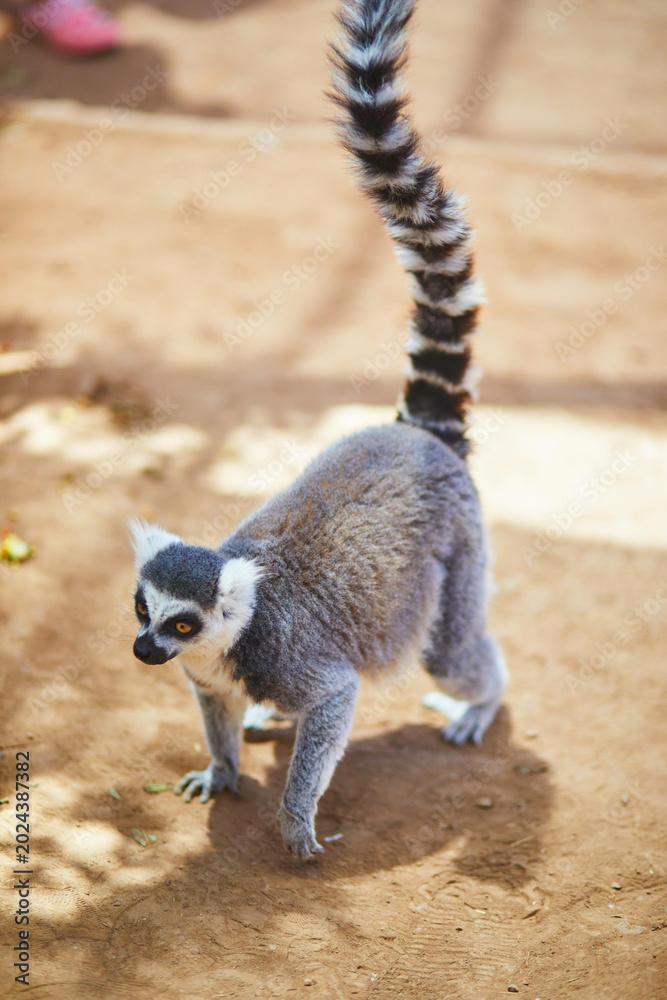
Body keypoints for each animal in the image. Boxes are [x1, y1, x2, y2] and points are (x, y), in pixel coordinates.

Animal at [130, 0, 508, 860]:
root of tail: (415, 435)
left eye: (181, 620)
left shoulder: (291, 659)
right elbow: (216, 717)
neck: (227, 642)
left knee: (451, 649)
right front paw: (223, 769)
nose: (142, 650)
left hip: (457, 552)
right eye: (142, 608)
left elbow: (333, 701)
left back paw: (477, 702)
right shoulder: (209, 679)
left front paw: (296, 822)